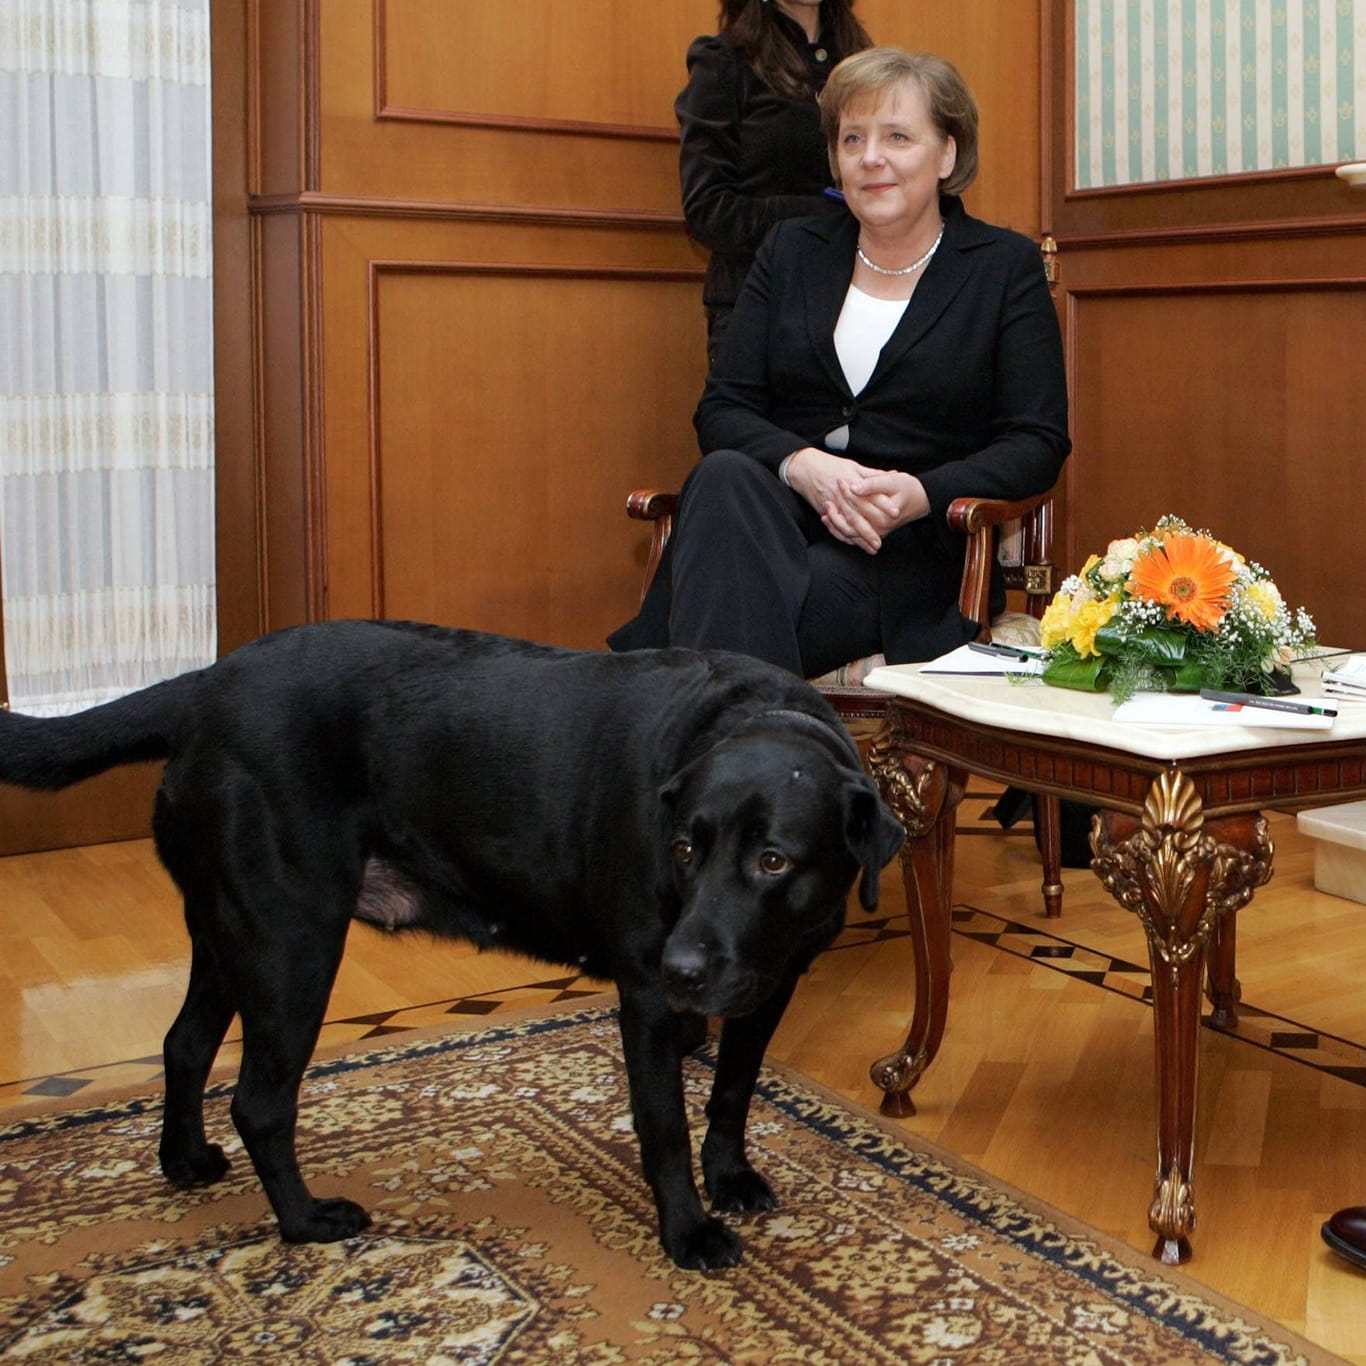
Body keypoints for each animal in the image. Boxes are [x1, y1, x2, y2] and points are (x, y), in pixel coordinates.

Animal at [2, 625, 907, 1273]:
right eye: (684, 848)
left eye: (773, 861)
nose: (684, 967)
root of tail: (207, 684)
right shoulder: (647, 1001)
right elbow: (663, 1126)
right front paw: (687, 1232)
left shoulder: (773, 979)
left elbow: (731, 1094)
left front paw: (732, 1179)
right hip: (291, 940)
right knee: (259, 1100)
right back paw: (306, 1221)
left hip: (227, 930)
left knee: (184, 1044)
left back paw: (185, 1161)